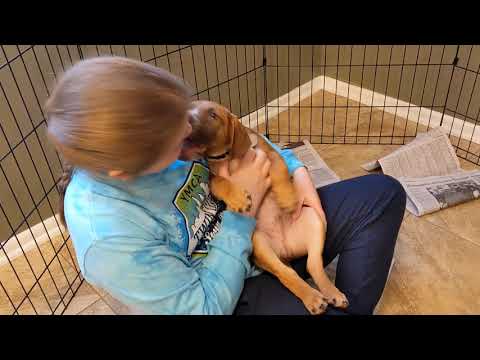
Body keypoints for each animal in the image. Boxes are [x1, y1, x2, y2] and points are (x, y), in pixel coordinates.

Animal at [188, 100, 348, 314]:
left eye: (213, 115)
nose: (187, 120)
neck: (228, 158)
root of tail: (286, 250)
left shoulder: (270, 154)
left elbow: (279, 171)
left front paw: (287, 198)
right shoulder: (213, 179)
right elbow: (221, 183)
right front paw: (238, 199)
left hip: (313, 217)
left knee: (313, 264)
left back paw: (332, 293)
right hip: (259, 243)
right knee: (288, 274)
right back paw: (313, 298)